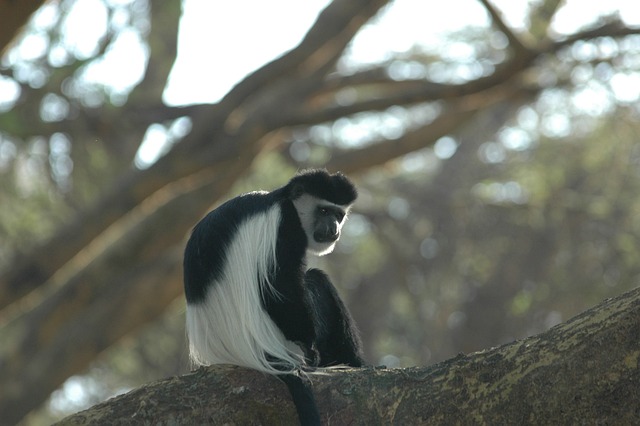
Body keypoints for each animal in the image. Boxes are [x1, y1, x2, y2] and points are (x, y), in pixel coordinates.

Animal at [184, 168, 364, 424]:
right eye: (323, 211)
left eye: (338, 215)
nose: (333, 229)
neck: (283, 200)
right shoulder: (285, 226)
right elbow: (280, 287)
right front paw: (310, 345)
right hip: (276, 339)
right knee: (315, 280)